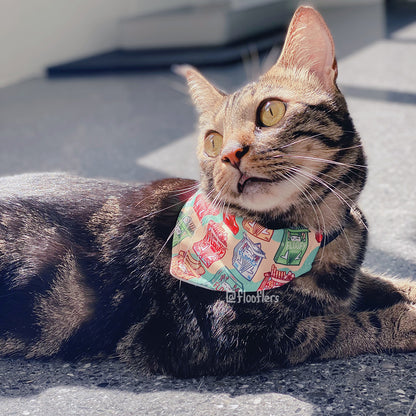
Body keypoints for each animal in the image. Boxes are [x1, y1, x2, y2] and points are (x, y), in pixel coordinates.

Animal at [0, 6, 416, 378]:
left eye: (271, 112)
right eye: (213, 141)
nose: (230, 154)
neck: (319, 231)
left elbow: (376, 281)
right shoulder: (210, 337)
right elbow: (340, 325)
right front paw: (404, 319)